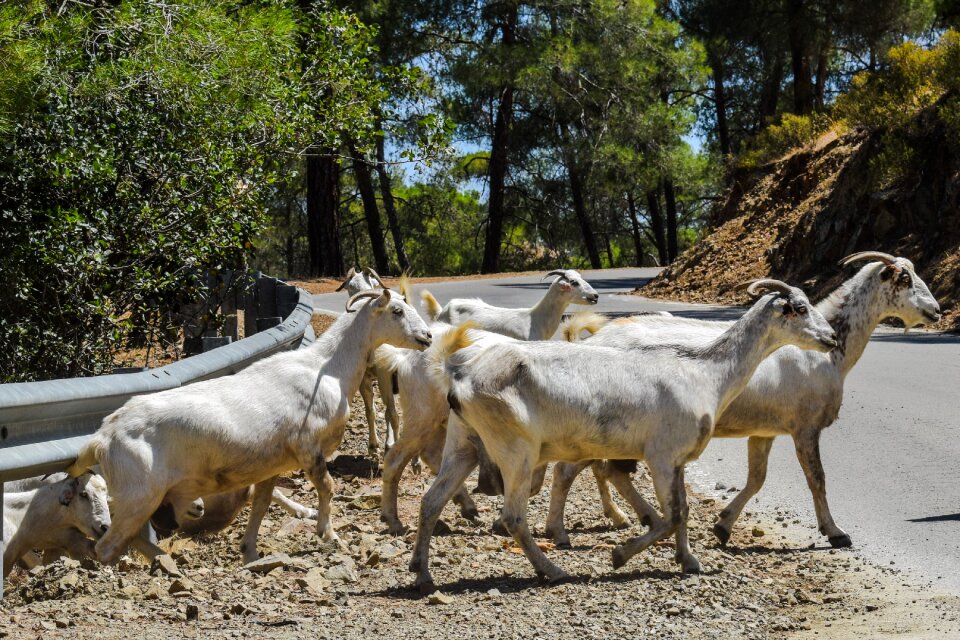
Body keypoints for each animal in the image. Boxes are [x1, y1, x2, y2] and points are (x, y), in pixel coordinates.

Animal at [65, 290, 430, 564]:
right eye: (397, 310)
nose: (426, 336)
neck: (325, 369)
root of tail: (102, 437)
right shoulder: (308, 448)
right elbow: (327, 487)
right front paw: (329, 534)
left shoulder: (271, 463)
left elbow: (261, 503)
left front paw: (250, 551)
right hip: (137, 495)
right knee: (106, 546)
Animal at [408, 280, 836, 592]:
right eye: (799, 308)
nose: (831, 339)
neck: (706, 373)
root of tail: (460, 375)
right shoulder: (661, 454)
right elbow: (672, 515)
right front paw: (620, 555)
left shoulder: (676, 459)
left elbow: (683, 511)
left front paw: (689, 561)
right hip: (515, 450)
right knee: (513, 517)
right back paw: (554, 570)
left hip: (464, 442)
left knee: (431, 502)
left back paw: (422, 573)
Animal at [544, 252, 940, 548]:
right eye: (905, 279)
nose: (936, 311)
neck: (827, 355)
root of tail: (592, 339)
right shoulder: (805, 427)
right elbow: (817, 479)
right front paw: (836, 532)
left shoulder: (764, 430)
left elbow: (756, 479)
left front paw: (723, 525)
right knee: (576, 469)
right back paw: (567, 531)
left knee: (603, 470)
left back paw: (633, 517)